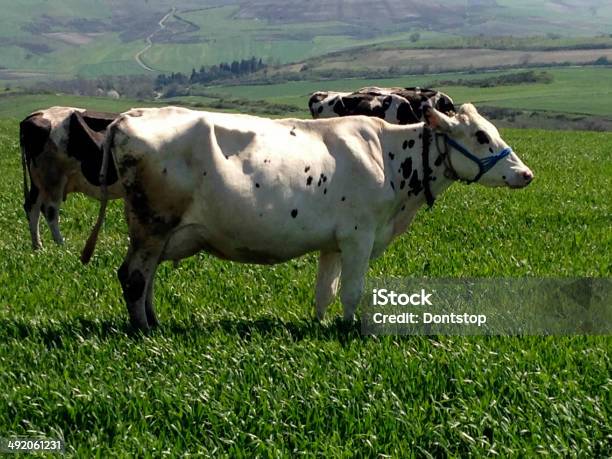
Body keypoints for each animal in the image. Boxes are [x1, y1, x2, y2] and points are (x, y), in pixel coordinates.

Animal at [19, 106, 122, 250]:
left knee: (32, 207)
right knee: (50, 210)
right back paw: (61, 246)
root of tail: (35, 115)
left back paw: (38, 247)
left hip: (39, 180)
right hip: (53, 177)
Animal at [82, 104, 536, 330]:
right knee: (134, 277)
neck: (390, 157)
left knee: (145, 278)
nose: (526, 173)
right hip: (152, 223)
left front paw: (319, 327)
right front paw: (348, 331)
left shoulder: (333, 244)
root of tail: (128, 117)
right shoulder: (359, 236)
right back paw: (144, 330)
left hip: (156, 232)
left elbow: (325, 292)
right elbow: (352, 292)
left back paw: (154, 321)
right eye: (481, 135)